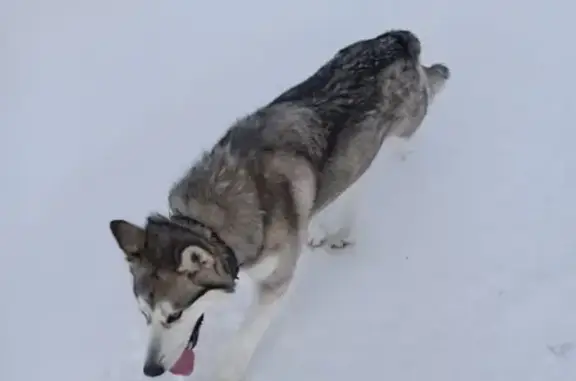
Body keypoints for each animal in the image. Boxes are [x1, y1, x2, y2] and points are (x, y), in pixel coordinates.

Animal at [108, 28, 450, 378]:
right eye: (144, 315)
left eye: (173, 316)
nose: (150, 370)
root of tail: (397, 39)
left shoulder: (275, 281)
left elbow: (247, 334)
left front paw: (228, 371)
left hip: (400, 129)